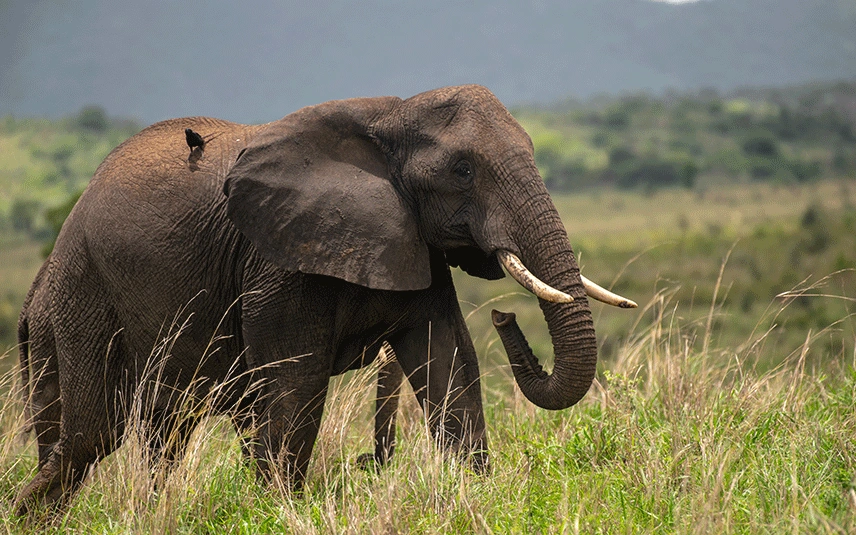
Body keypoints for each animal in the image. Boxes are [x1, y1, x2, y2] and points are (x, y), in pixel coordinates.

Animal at [15, 85, 636, 516]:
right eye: (463, 170)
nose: (506, 316)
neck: (390, 116)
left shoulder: (412, 241)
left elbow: (449, 364)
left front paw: (478, 497)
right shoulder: (279, 263)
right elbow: (296, 384)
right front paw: (279, 513)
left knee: (155, 432)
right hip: (80, 299)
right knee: (92, 432)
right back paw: (28, 507)